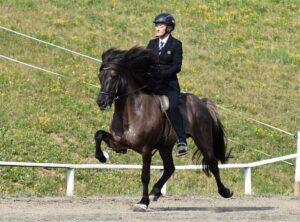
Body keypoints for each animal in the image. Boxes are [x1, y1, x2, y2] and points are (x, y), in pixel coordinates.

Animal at [95, 46, 233, 210]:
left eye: (114, 76)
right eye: (100, 76)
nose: (101, 102)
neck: (133, 111)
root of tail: (202, 103)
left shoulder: (146, 149)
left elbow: (145, 176)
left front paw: (143, 202)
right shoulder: (118, 142)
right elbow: (98, 134)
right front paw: (102, 157)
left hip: (203, 139)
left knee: (212, 163)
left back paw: (225, 192)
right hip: (165, 146)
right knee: (169, 168)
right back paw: (155, 193)